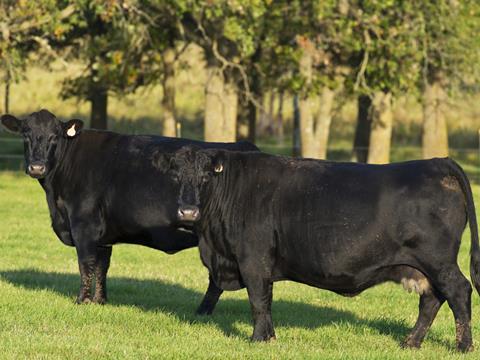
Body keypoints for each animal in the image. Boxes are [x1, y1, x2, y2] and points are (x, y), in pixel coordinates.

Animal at [0, 109, 258, 316]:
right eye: (25, 134)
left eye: (55, 136)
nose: (36, 167)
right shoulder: (102, 235)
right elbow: (102, 266)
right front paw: (100, 300)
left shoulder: (83, 225)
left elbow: (86, 264)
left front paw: (82, 301)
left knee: (218, 280)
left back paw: (202, 311)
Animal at [154, 146, 480, 352]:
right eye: (174, 176)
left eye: (206, 177)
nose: (187, 212)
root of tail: (436, 162)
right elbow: (263, 300)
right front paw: (269, 336)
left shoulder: (253, 259)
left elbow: (258, 300)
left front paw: (259, 339)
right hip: (424, 267)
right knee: (432, 300)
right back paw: (410, 343)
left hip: (438, 261)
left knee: (458, 292)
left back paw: (463, 346)